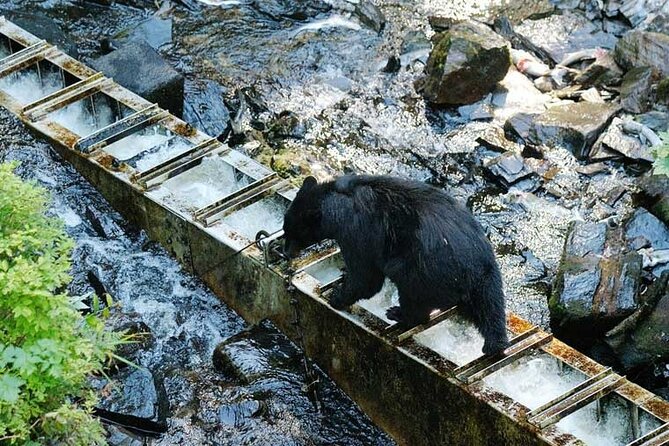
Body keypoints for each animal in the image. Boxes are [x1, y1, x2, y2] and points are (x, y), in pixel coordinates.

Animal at [280, 174, 506, 356]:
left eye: (293, 233)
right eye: (285, 228)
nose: (285, 252)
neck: (337, 201)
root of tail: (474, 271)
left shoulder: (356, 231)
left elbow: (366, 278)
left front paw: (337, 295)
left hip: (419, 271)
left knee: (414, 299)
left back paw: (399, 314)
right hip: (489, 277)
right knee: (491, 308)